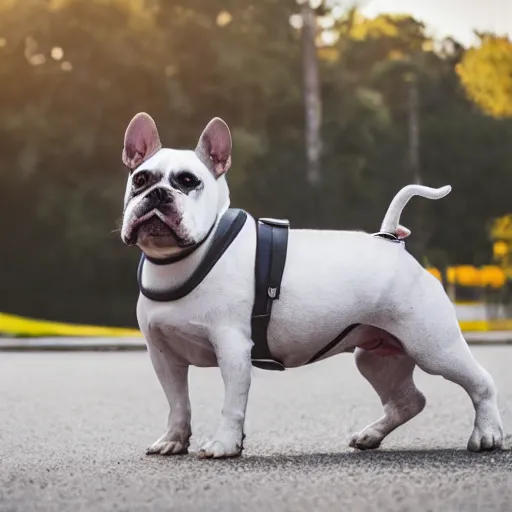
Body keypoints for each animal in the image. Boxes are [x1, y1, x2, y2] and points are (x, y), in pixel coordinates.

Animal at [119, 111, 504, 456]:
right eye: (140, 179)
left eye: (188, 181)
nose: (158, 194)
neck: (185, 256)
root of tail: (391, 242)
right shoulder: (164, 356)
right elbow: (178, 402)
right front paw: (173, 439)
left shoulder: (232, 349)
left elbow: (231, 404)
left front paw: (224, 445)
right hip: (376, 356)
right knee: (409, 401)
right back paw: (371, 435)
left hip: (434, 347)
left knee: (481, 382)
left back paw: (487, 435)